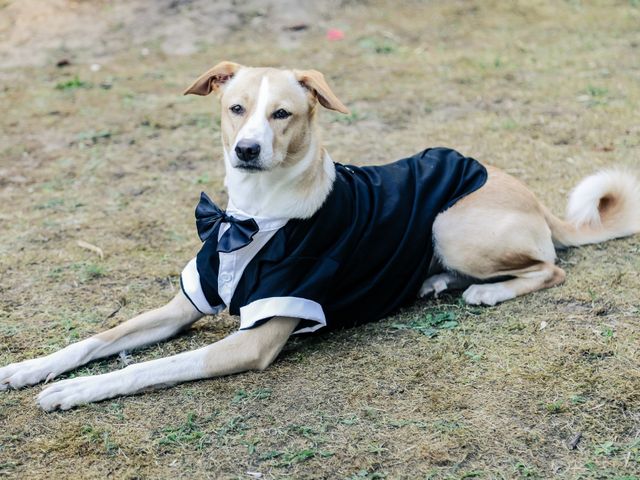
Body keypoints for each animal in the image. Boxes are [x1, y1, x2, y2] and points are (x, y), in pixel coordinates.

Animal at [1, 62, 640, 410]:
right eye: (235, 108)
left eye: (282, 114)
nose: (246, 150)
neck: (253, 215)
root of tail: (527, 192)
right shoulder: (183, 304)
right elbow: (95, 341)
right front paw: (28, 369)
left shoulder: (253, 340)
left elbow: (142, 368)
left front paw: (74, 392)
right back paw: (434, 281)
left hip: (451, 222)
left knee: (550, 266)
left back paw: (485, 290)